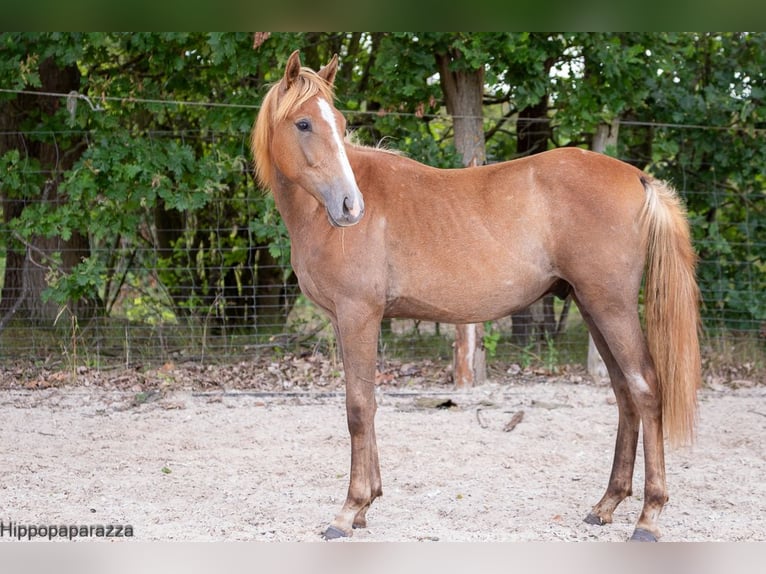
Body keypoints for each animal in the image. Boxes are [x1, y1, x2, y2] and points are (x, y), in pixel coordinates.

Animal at [252, 50, 704, 544]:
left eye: (338, 121)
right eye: (304, 123)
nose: (351, 206)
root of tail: (638, 177)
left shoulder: (359, 316)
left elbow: (357, 408)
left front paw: (348, 510)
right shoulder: (345, 320)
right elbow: (367, 405)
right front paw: (367, 504)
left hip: (612, 307)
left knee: (646, 388)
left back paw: (648, 517)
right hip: (592, 308)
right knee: (624, 393)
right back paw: (606, 505)